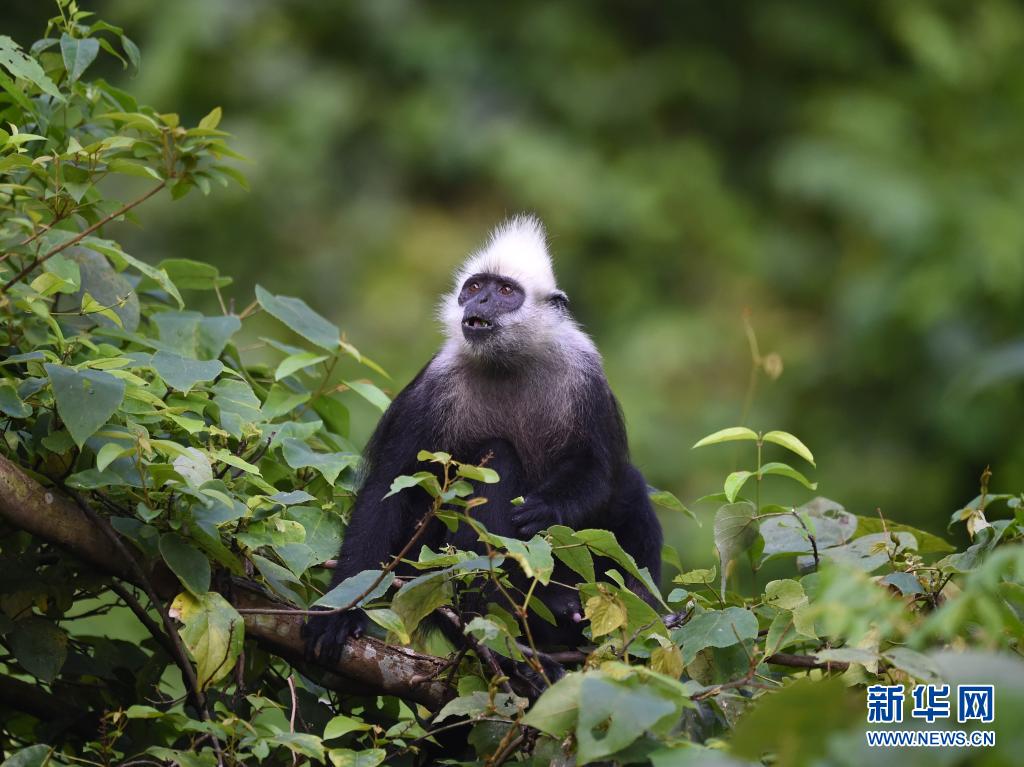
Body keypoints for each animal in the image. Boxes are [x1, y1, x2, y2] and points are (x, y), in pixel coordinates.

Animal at [304, 215, 663, 664]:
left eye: (506, 292)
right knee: (500, 455)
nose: (480, 302)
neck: (507, 366)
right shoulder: (432, 389)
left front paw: (545, 507)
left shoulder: (586, 374)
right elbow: (387, 491)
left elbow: (600, 471)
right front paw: (337, 614)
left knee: (629, 485)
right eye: (475, 287)